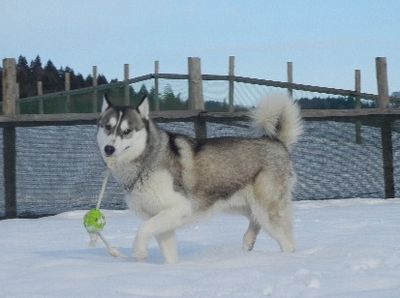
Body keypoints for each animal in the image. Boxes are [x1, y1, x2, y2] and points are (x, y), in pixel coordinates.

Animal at [97, 94, 302, 262]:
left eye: (127, 131)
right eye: (108, 127)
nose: (109, 149)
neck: (146, 161)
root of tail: (277, 142)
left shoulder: (179, 207)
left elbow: (143, 229)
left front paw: (139, 252)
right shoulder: (161, 218)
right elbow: (168, 252)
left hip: (267, 211)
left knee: (288, 243)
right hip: (244, 206)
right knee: (255, 223)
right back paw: (247, 243)